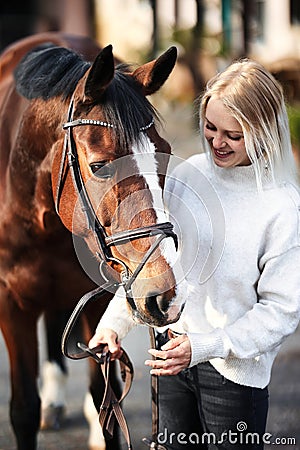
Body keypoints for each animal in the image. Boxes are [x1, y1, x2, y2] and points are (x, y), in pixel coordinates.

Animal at [0, 32, 185, 450]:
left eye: (165, 154)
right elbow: (23, 409)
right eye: (100, 167)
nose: (166, 295)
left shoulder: (100, 294)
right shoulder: (11, 303)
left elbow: (107, 400)